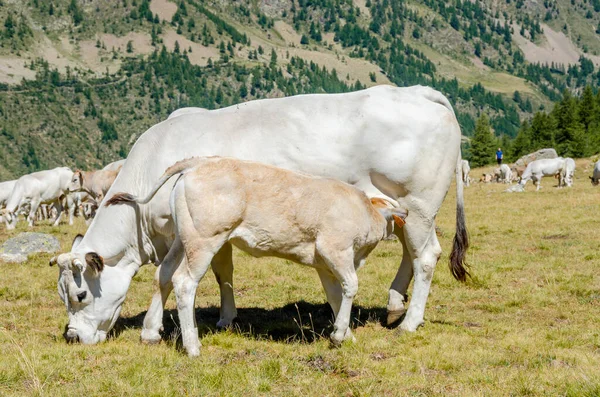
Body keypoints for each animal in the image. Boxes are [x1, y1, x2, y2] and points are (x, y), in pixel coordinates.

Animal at [48, 85, 468, 344]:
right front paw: (155, 328)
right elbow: (169, 277)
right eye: (62, 295)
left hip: (419, 204)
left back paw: (410, 322)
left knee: (426, 256)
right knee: (410, 252)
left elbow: (199, 275)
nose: (72, 335)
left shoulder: (194, 233)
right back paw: (395, 305)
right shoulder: (186, 234)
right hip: (403, 210)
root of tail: (417, 90)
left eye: (81, 294)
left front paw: (219, 319)